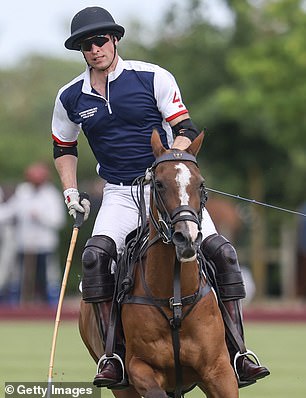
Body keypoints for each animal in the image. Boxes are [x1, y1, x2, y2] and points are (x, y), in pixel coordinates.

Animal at [78, 132, 237, 398]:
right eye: (160, 184)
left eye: (201, 184)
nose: (187, 237)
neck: (174, 298)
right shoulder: (140, 368)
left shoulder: (219, 369)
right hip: (121, 385)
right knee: (94, 255)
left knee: (225, 252)